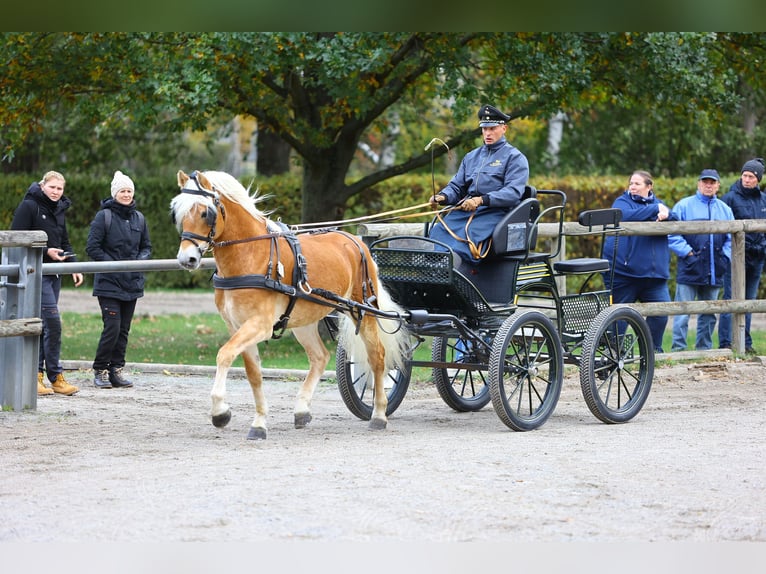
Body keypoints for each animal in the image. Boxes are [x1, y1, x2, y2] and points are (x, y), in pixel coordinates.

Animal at [170, 171, 408, 440]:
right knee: (320, 357)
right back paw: (302, 410)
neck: (251, 255)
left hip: (362, 311)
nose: (186, 259)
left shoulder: (259, 324)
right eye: (177, 213)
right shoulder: (237, 326)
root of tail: (355, 241)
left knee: (377, 356)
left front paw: (220, 411)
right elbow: (253, 374)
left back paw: (378, 415)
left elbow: (224, 355)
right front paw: (258, 423)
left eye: (205, 213)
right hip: (304, 320)